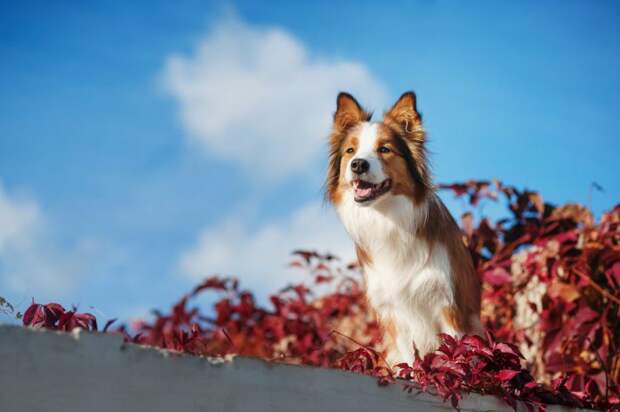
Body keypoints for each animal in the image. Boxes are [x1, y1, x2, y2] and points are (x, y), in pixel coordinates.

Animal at [326, 91, 482, 366]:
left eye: (384, 149)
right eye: (350, 150)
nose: (358, 164)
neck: (389, 218)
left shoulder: (449, 303)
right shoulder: (394, 313)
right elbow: (409, 359)